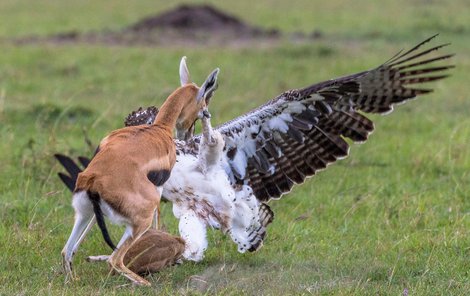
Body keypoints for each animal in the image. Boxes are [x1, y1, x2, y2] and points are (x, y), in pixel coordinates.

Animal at [61, 57, 220, 286]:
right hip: (138, 221)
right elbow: (158, 216)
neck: (159, 129)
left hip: (84, 211)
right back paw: (145, 282)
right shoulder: (159, 189)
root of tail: (93, 180)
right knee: (114, 259)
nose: (189, 135)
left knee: (67, 250)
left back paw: (72, 278)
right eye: (204, 109)